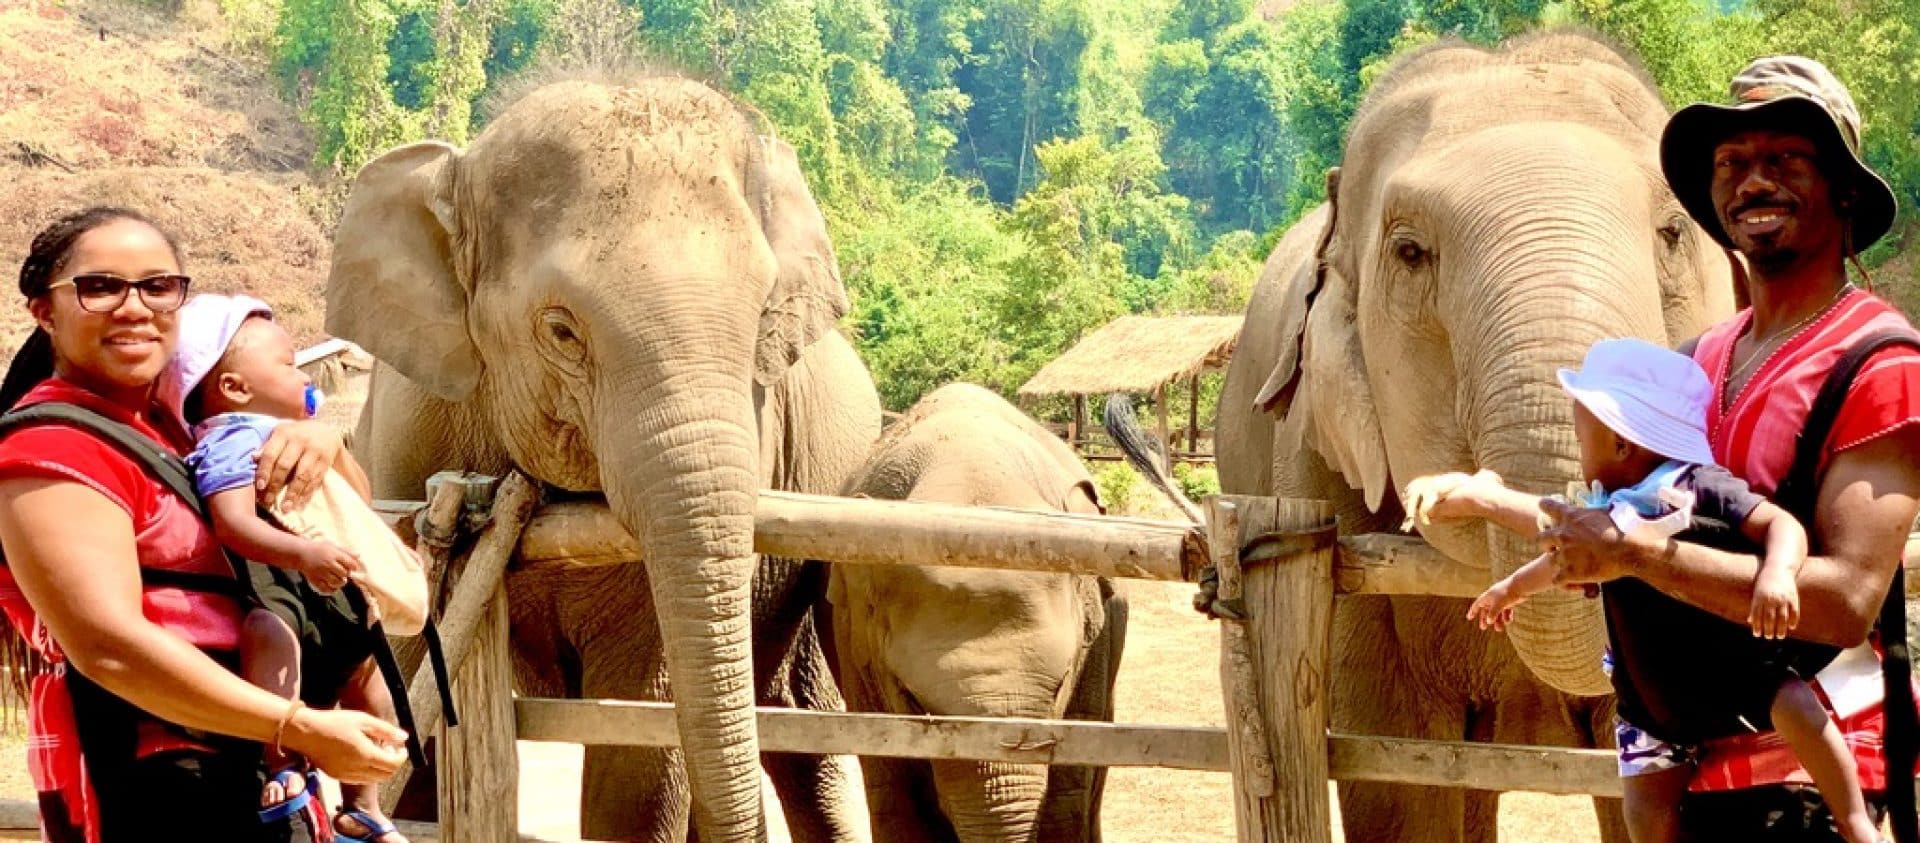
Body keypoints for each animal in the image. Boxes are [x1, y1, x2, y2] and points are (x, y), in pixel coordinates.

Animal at [323, 75, 882, 842]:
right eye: (562, 330)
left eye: (764, 319)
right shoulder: (406, 443)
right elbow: (410, 688)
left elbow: (638, 758)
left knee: (801, 735)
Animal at [826, 384, 1127, 843]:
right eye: (913, 701)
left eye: (1060, 685)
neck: (971, 474)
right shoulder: (854, 641)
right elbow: (891, 787)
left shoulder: (1095, 645)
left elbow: (1068, 796)